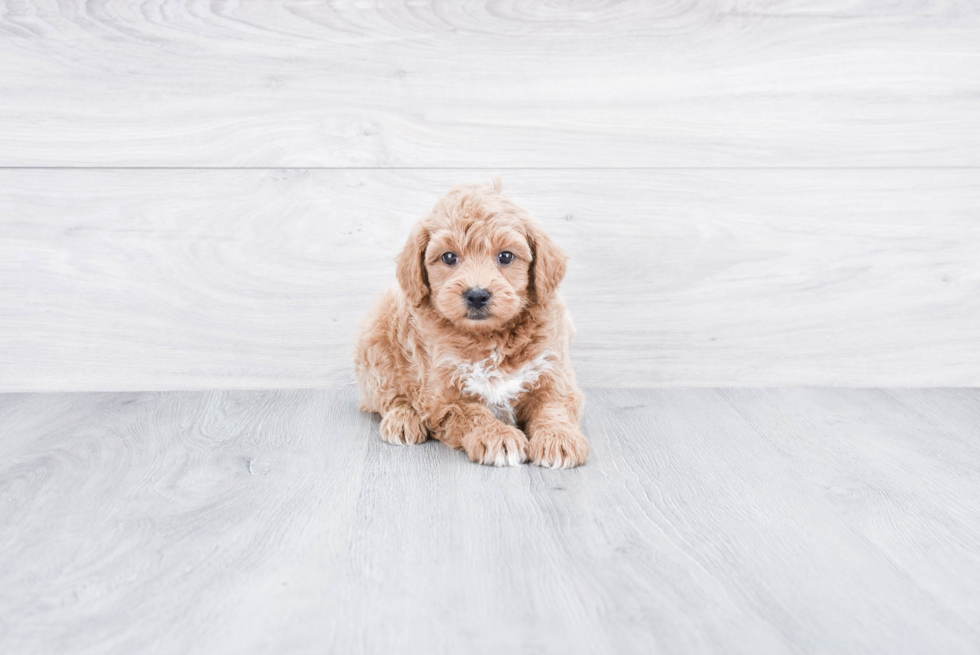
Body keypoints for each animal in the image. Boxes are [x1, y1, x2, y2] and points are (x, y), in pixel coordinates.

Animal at [354, 177, 588, 468]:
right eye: (449, 257)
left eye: (506, 256)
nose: (477, 295)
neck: (491, 338)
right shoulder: (444, 394)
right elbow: (472, 413)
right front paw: (497, 436)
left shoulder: (553, 372)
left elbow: (553, 408)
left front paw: (559, 439)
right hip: (377, 342)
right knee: (389, 397)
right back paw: (403, 420)